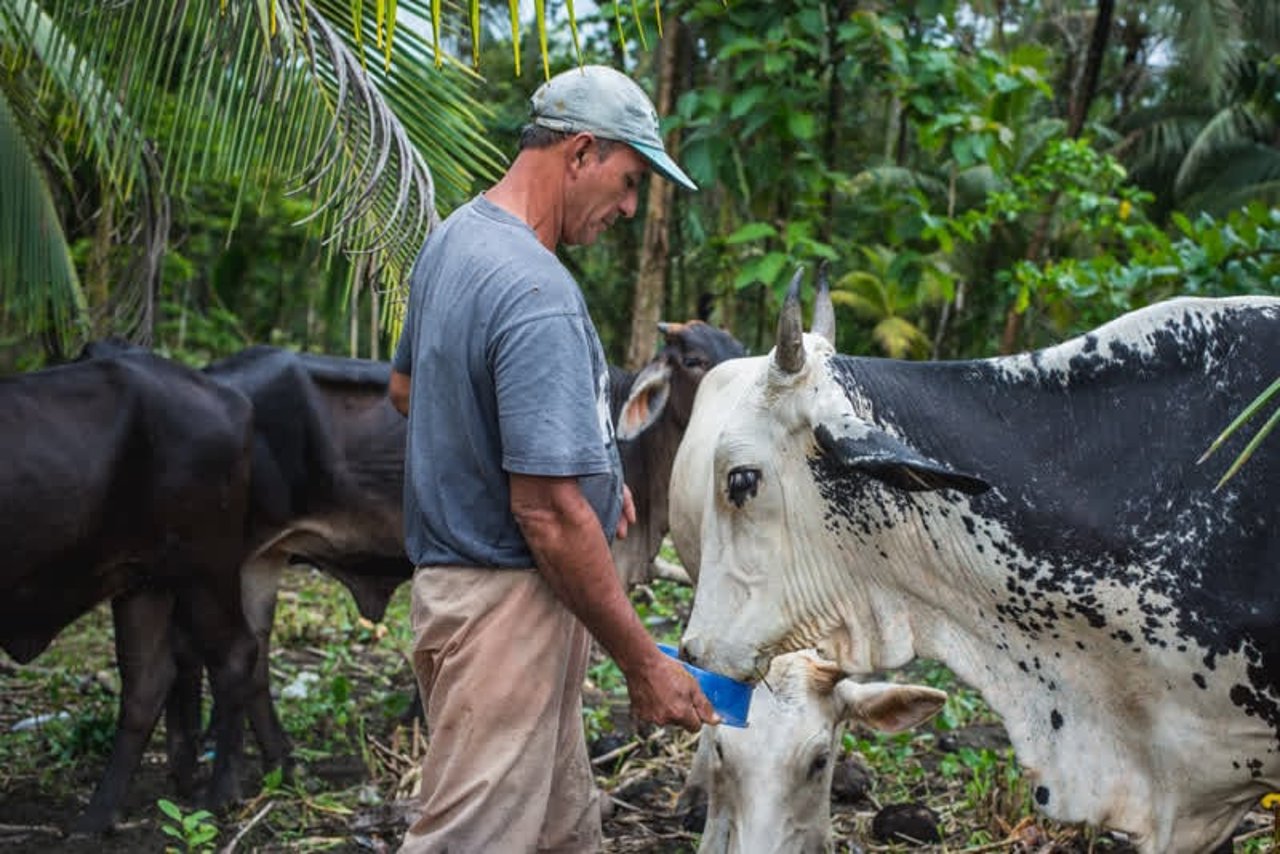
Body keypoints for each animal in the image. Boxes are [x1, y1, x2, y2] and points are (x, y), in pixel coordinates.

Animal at [0, 348, 259, 834]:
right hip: (143, 582)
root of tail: (230, 398)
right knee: (147, 682)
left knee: (234, 655)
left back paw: (219, 796)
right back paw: (95, 818)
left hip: (203, 571)